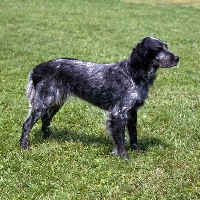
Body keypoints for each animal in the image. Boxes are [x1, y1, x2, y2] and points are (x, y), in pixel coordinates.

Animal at [19, 37, 180, 159]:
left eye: (166, 47)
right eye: (158, 49)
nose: (177, 58)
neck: (132, 73)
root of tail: (37, 68)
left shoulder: (132, 112)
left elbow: (133, 135)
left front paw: (137, 151)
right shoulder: (119, 113)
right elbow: (120, 139)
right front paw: (124, 157)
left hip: (55, 103)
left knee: (45, 121)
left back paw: (48, 139)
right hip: (42, 104)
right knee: (27, 124)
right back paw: (23, 146)